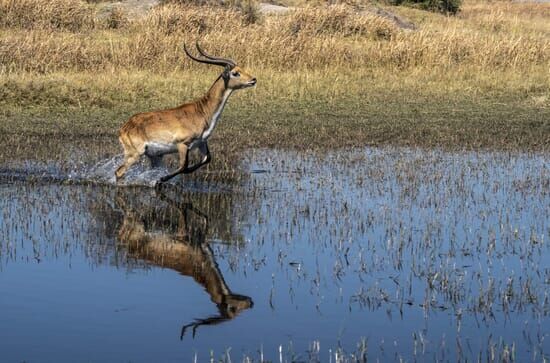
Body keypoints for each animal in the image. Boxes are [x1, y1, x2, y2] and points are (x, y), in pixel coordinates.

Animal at [115, 43, 258, 185]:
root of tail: (124, 128)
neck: (202, 111)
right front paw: (160, 179)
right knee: (119, 172)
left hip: (155, 156)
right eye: (235, 73)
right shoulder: (183, 144)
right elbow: (183, 166)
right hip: (135, 154)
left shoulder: (201, 142)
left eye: (241, 68)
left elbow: (206, 159)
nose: (253, 79)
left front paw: (159, 180)